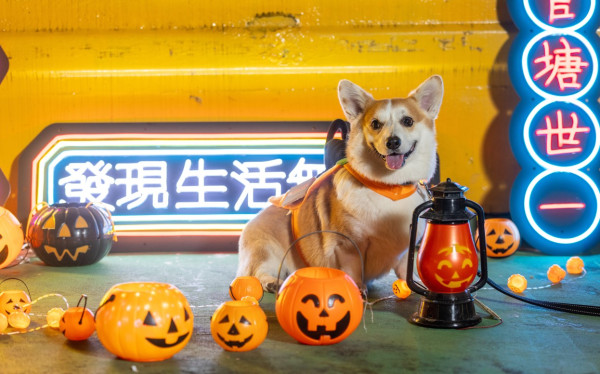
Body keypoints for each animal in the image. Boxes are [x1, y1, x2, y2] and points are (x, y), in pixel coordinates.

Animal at [237, 76, 442, 292]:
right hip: (265, 250)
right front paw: (358, 289)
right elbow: (354, 267)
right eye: (375, 124)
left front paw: (415, 285)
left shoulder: (404, 249)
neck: (390, 187)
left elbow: (405, 269)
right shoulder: (348, 245)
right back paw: (271, 282)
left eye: (408, 121)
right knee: (256, 272)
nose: (392, 142)